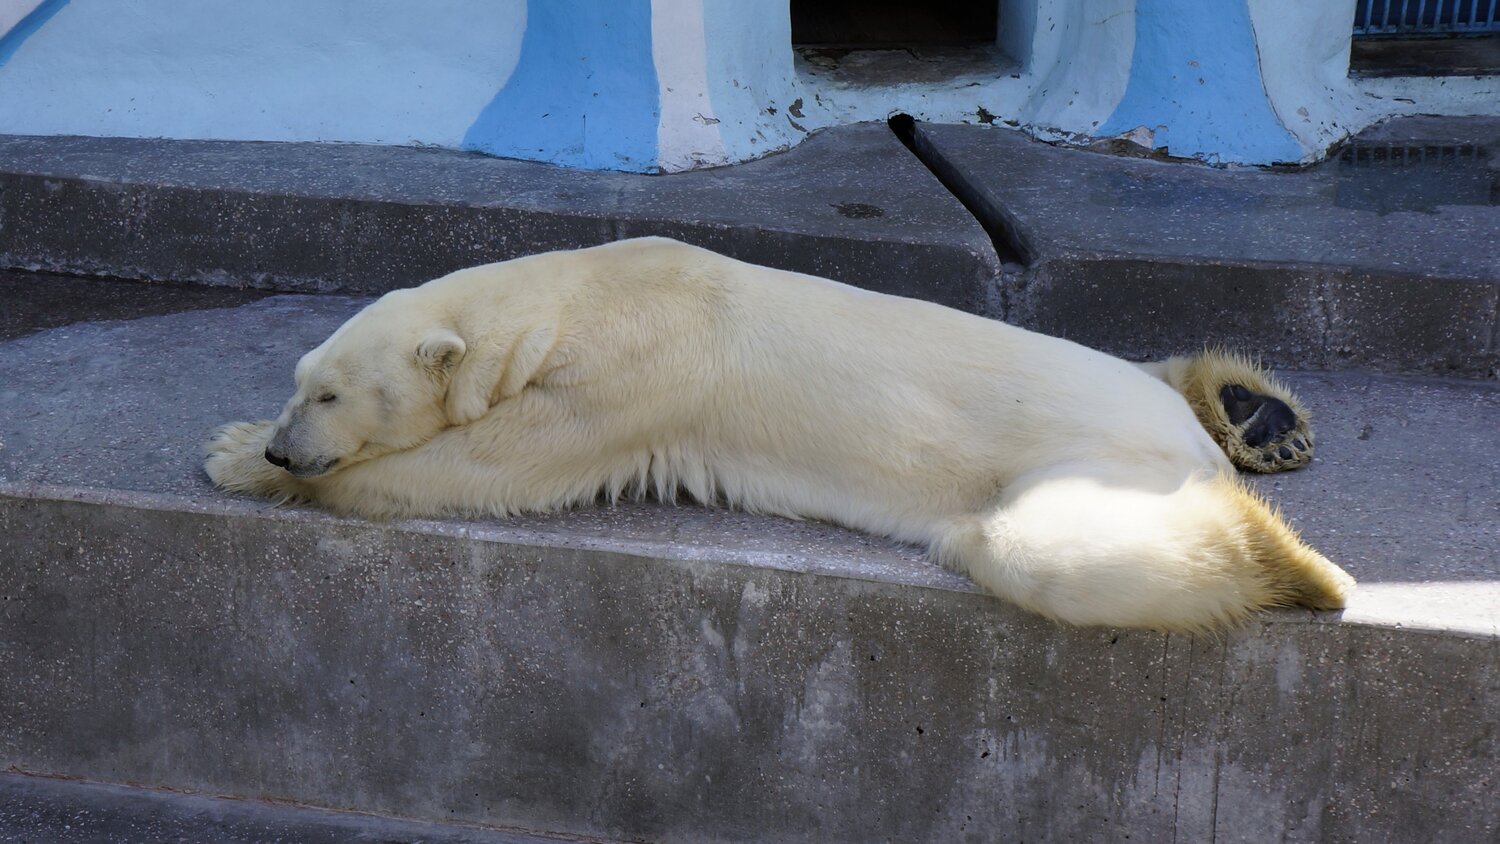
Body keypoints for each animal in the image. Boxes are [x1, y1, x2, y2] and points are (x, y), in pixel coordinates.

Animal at [205, 237, 1353, 631]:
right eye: (301, 384)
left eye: (330, 397)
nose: (283, 444)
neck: (578, 294)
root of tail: (1176, 440)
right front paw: (238, 440)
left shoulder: (629, 378)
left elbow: (486, 468)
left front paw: (236, 462)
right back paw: (1253, 409)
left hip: (1087, 463)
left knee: (1040, 547)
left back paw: (1296, 562)